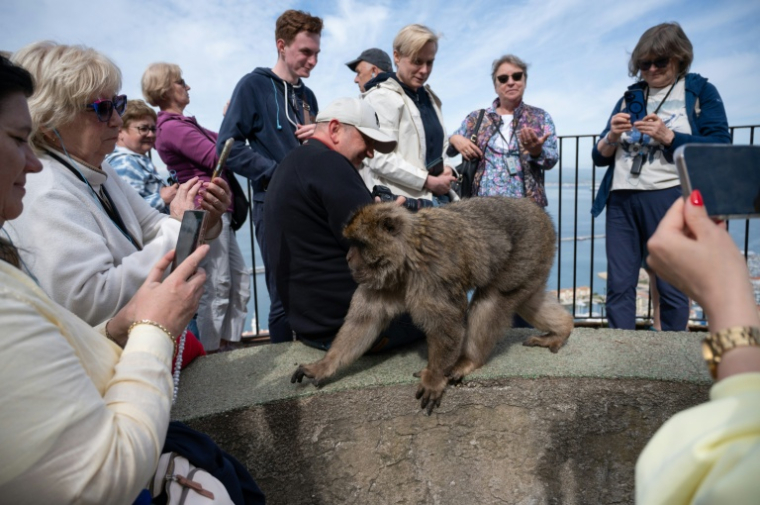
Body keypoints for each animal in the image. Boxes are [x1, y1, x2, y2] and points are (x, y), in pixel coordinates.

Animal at [291, 196, 574, 413]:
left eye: (360, 244)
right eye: (352, 244)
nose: (349, 257)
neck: (406, 257)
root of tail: (541, 214)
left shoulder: (432, 275)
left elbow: (446, 325)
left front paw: (435, 376)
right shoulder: (379, 281)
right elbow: (364, 323)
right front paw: (323, 367)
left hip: (528, 249)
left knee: (493, 298)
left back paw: (469, 360)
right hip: (534, 260)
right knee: (527, 299)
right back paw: (563, 328)